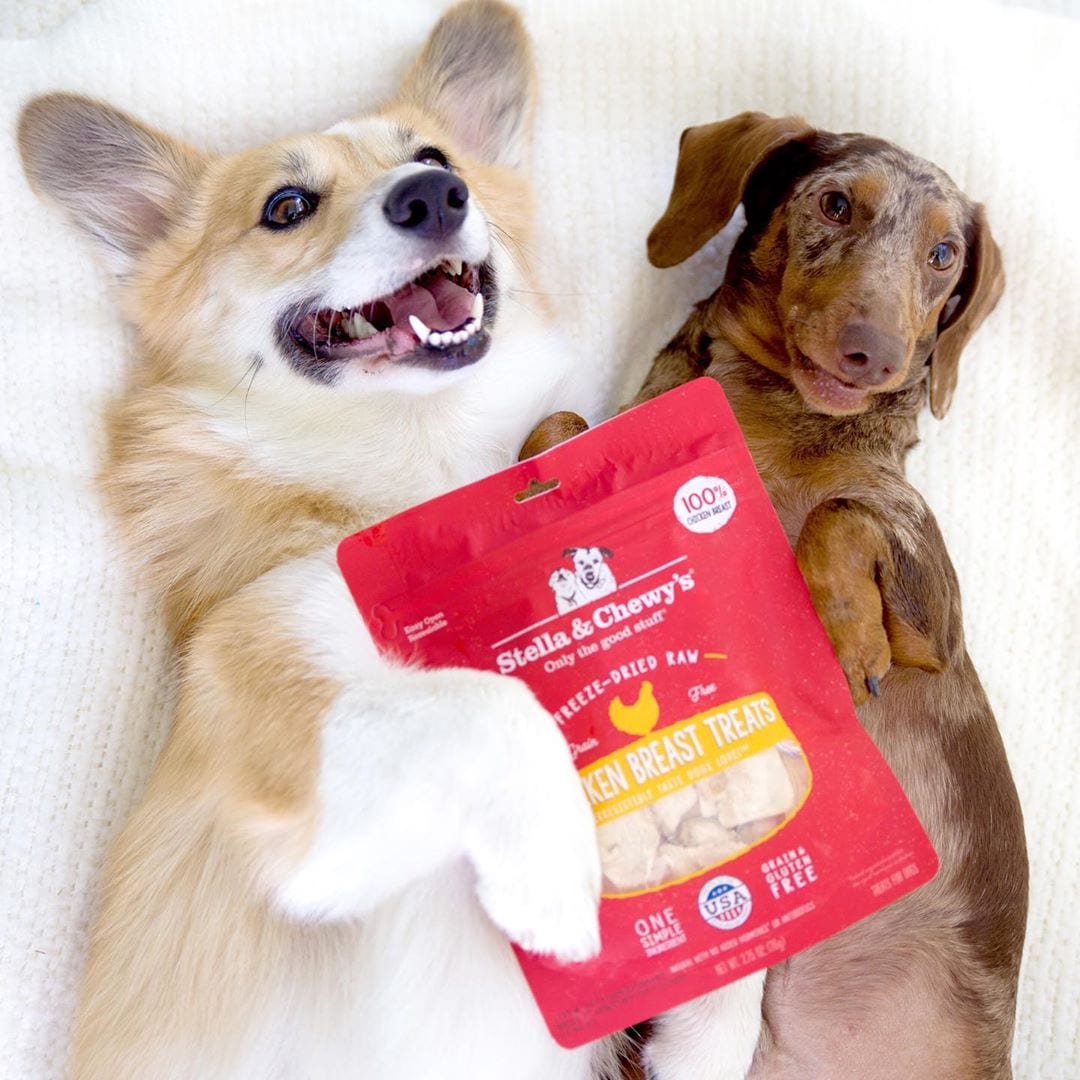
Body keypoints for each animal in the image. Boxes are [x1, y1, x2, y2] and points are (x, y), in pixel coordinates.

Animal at [16, 2, 639, 1080]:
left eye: (433, 156)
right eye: (286, 206)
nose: (435, 194)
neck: (426, 465)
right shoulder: (302, 797)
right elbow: (490, 704)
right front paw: (557, 882)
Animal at [630, 116, 1023, 1080]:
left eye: (945, 254)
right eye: (835, 203)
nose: (873, 355)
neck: (772, 421)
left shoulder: (936, 617)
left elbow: (840, 515)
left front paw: (847, 639)